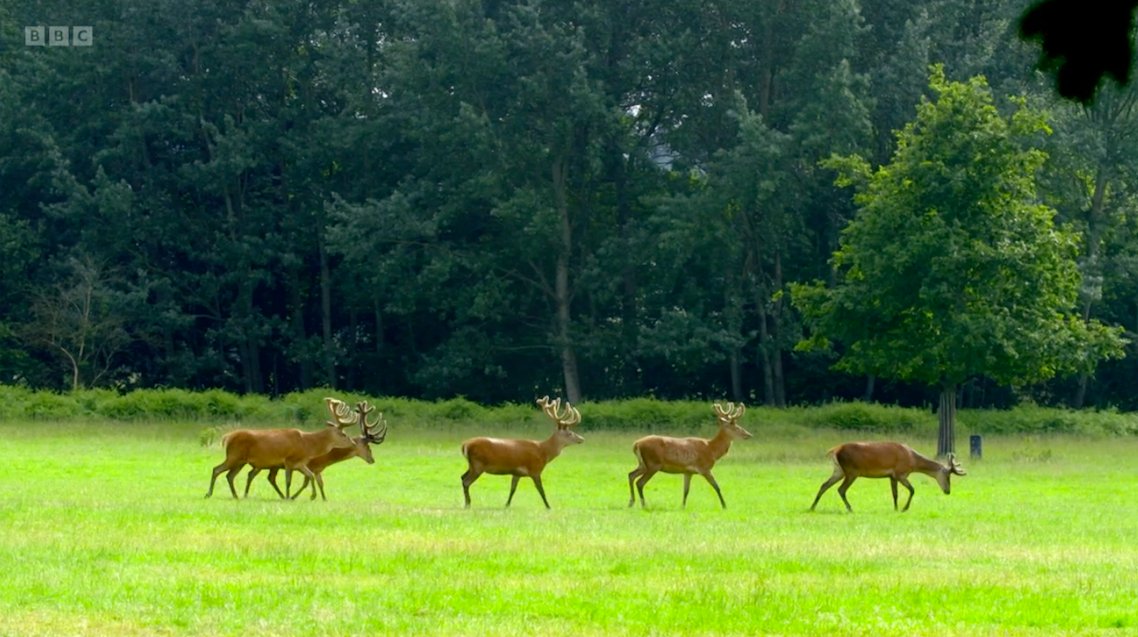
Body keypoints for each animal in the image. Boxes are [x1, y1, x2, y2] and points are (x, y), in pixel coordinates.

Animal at [204, 395, 355, 500]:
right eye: (343, 434)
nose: (353, 443)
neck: (307, 444)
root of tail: (227, 437)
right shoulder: (289, 460)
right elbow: (288, 481)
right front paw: (288, 497)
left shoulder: (300, 463)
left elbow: (310, 475)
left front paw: (311, 496)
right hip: (234, 455)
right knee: (216, 469)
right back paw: (209, 493)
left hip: (241, 461)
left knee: (229, 475)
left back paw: (235, 495)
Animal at [242, 400, 389, 500]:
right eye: (368, 446)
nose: (372, 459)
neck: (326, 458)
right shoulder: (309, 466)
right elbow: (306, 482)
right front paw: (298, 496)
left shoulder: (317, 470)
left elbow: (320, 483)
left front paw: (324, 499)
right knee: (260, 476)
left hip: (268, 465)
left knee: (258, 476)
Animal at [810, 443, 969, 511]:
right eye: (948, 476)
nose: (948, 491)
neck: (912, 460)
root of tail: (835, 450)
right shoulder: (900, 473)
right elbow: (913, 490)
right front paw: (904, 508)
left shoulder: (891, 476)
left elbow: (895, 494)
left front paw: (896, 508)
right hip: (851, 471)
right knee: (841, 489)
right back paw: (850, 508)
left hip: (839, 470)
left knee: (824, 485)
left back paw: (812, 507)